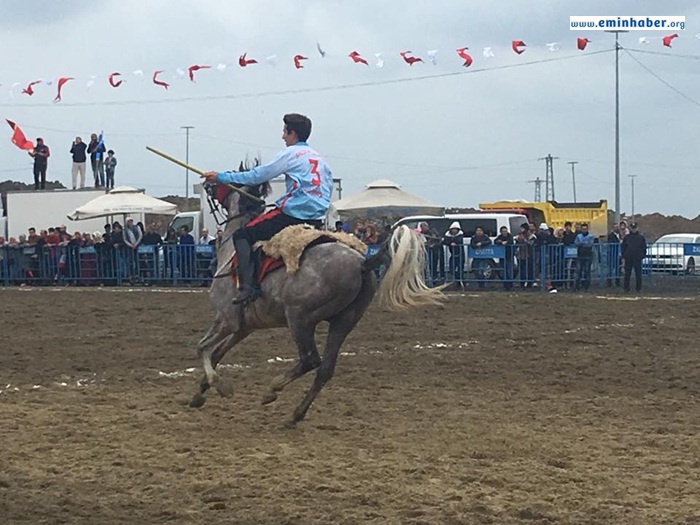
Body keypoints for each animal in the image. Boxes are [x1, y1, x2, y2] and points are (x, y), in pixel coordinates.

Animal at [191, 180, 440, 426]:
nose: (207, 183)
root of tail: (362, 262)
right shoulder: (244, 327)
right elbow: (216, 353)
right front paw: (198, 395)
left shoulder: (227, 320)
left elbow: (202, 347)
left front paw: (220, 386)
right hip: (344, 321)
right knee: (325, 369)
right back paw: (296, 413)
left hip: (300, 320)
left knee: (310, 359)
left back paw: (273, 389)